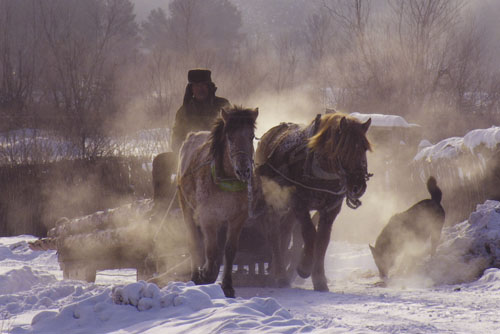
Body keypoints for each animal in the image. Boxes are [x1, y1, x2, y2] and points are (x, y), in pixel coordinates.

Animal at [177, 105, 258, 298]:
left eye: (251, 136)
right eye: (229, 137)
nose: (244, 170)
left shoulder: (237, 219)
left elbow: (229, 250)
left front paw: (227, 285)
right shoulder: (208, 217)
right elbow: (211, 250)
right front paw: (205, 274)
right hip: (187, 209)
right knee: (194, 242)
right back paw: (195, 275)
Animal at [258, 112, 372, 290]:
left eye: (364, 148)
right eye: (344, 148)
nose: (358, 186)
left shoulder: (331, 209)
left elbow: (322, 240)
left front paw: (319, 278)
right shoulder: (300, 204)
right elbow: (309, 233)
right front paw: (304, 267)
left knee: (285, 231)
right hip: (275, 202)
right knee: (274, 233)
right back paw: (279, 274)